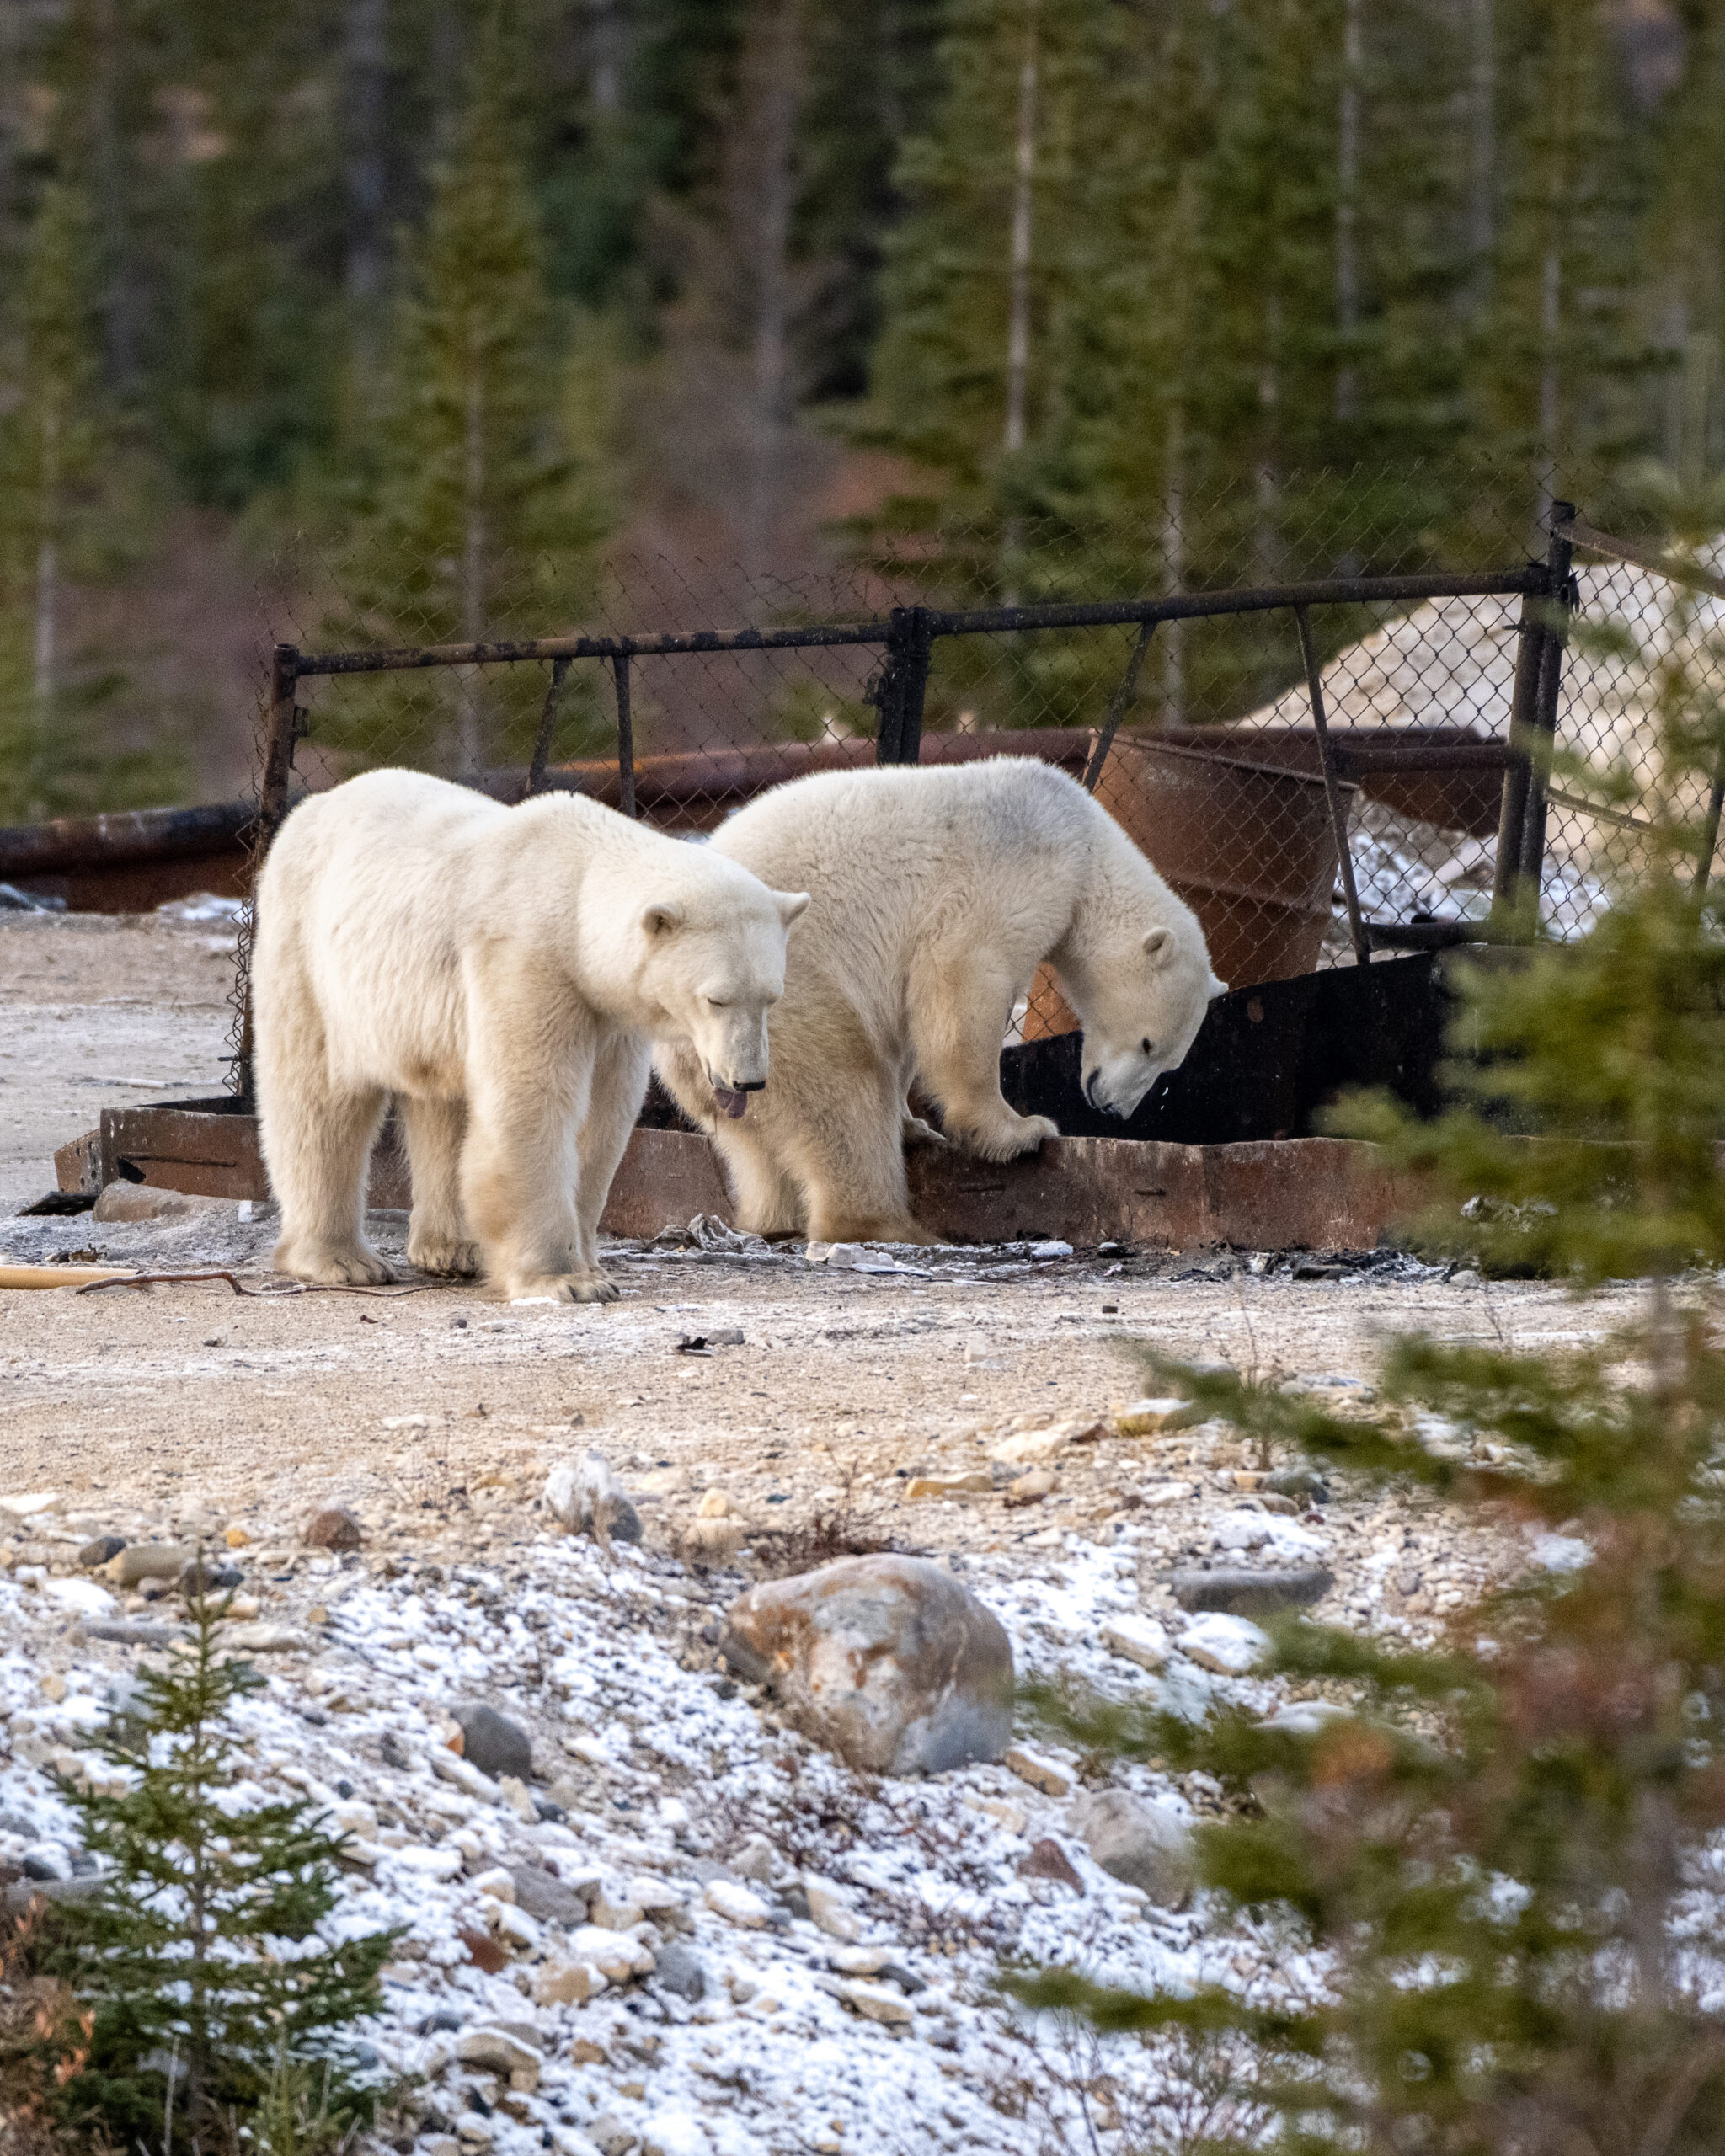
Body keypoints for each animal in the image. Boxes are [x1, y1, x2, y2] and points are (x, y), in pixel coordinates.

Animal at [252, 768, 809, 1301]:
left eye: (771, 997)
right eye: (716, 999)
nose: (747, 1082)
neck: (575, 890)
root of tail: (314, 805)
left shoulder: (608, 1010)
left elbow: (602, 1119)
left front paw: (588, 1264)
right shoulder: (528, 960)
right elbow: (533, 1102)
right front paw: (565, 1280)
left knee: (443, 1101)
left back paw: (455, 1249)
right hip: (311, 956)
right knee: (319, 1101)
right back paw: (344, 1260)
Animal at [653, 756, 1224, 1246]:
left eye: (1169, 1064)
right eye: (1148, 1043)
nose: (1113, 1109)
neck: (1082, 836)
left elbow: (908, 1019)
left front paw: (915, 1125)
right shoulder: (1014, 874)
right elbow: (962, 983)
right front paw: (1019, 1132)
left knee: (752, 1141)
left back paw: (774, 1218)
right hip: (775, 1000)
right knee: (843, 1095)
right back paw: (888, 1225)